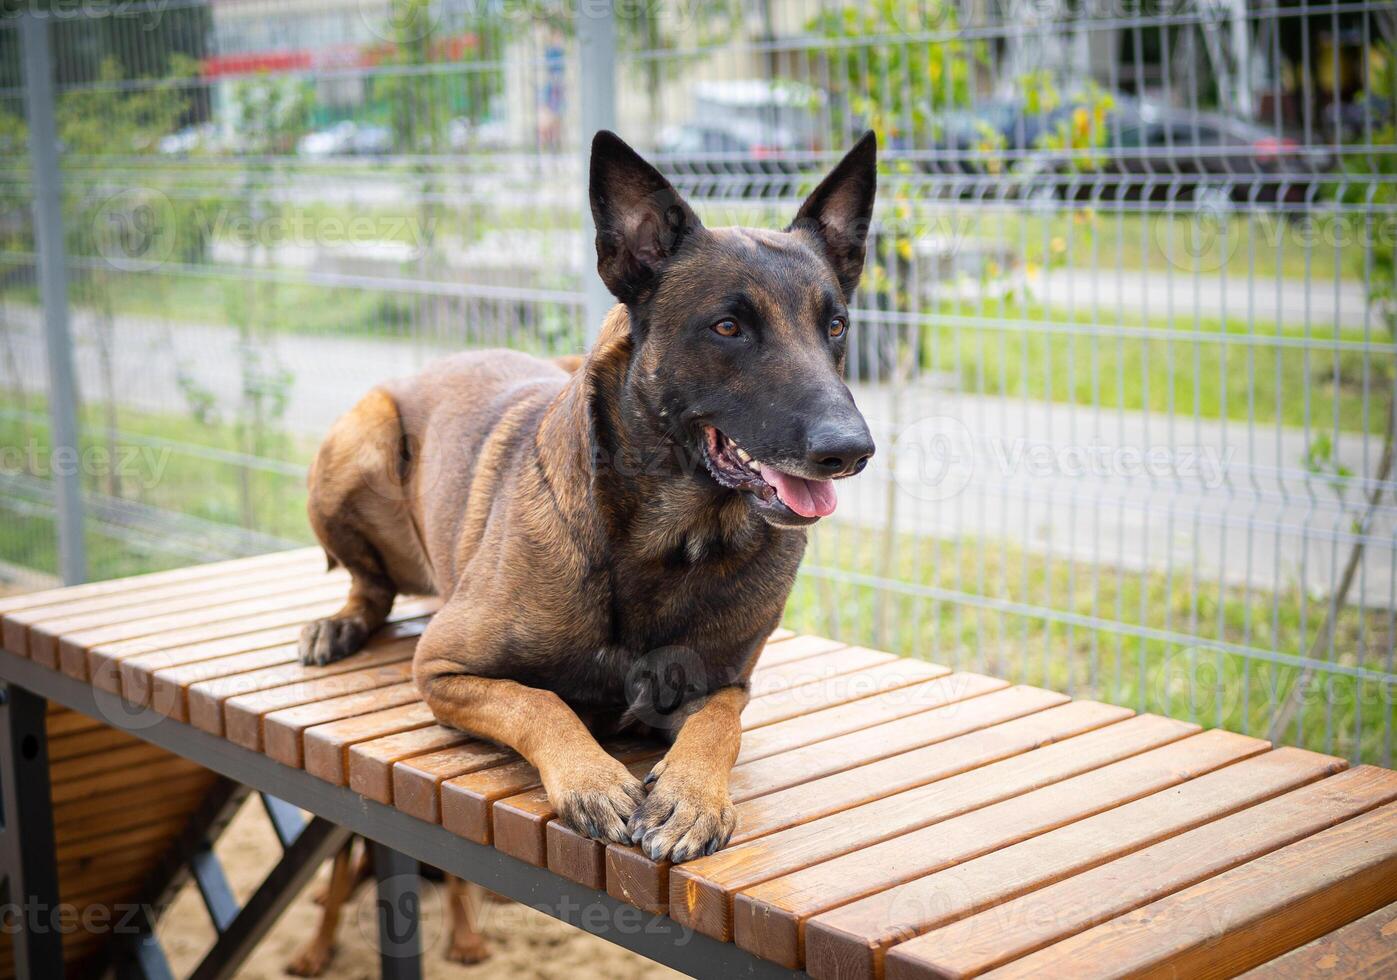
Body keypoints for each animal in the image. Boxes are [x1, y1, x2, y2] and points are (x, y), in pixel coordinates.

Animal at [301, 128, 877, 859]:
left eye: (836, 326)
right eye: (727, 327)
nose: (851, 451)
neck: (671, 540)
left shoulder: (725, 684)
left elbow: (720, 723)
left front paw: (692, 797)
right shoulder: (442, 668)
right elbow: (540, 702)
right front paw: (592, 778)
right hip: (358, 441)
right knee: (368, 586)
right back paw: (339, 623)